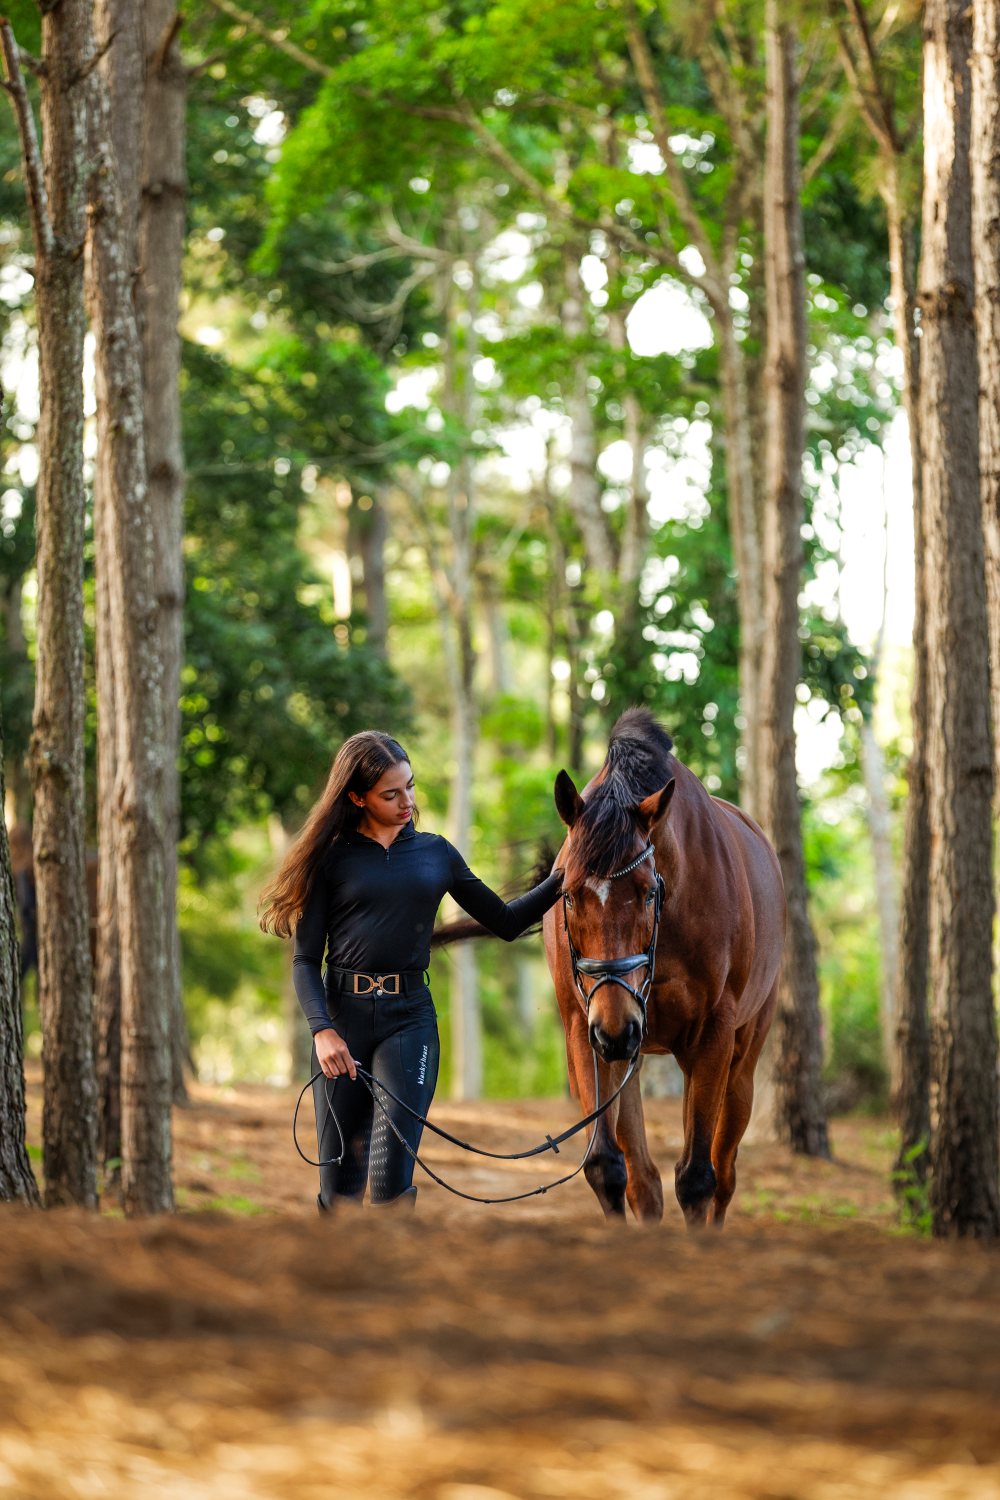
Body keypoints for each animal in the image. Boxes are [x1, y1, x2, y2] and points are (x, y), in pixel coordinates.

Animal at [544, 708, 785, 1227]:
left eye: (648, 892)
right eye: (568, 894)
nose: (616, 1029)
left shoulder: (711, 1037)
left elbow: (697, 1179)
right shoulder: (583, 1030)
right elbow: (607, 1168)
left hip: (740, 1064)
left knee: (724, 1174)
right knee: (644, 1180)